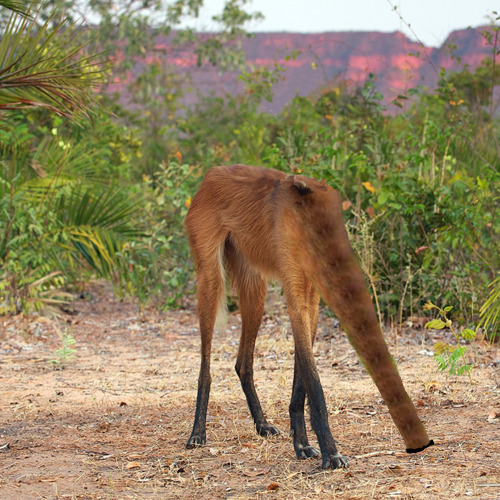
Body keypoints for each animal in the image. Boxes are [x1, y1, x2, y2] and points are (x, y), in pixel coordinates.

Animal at [186, 164, 432, 468]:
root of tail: (211, 173)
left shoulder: (312, 301)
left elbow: (301, 381)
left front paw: (302, 444)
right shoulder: (297, 299)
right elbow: (313, 383)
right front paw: (330, 452)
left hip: (256, 291)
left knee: (243, 364)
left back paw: (262, 425)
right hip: (211, 280)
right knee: (205, 367)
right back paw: (198, 432)